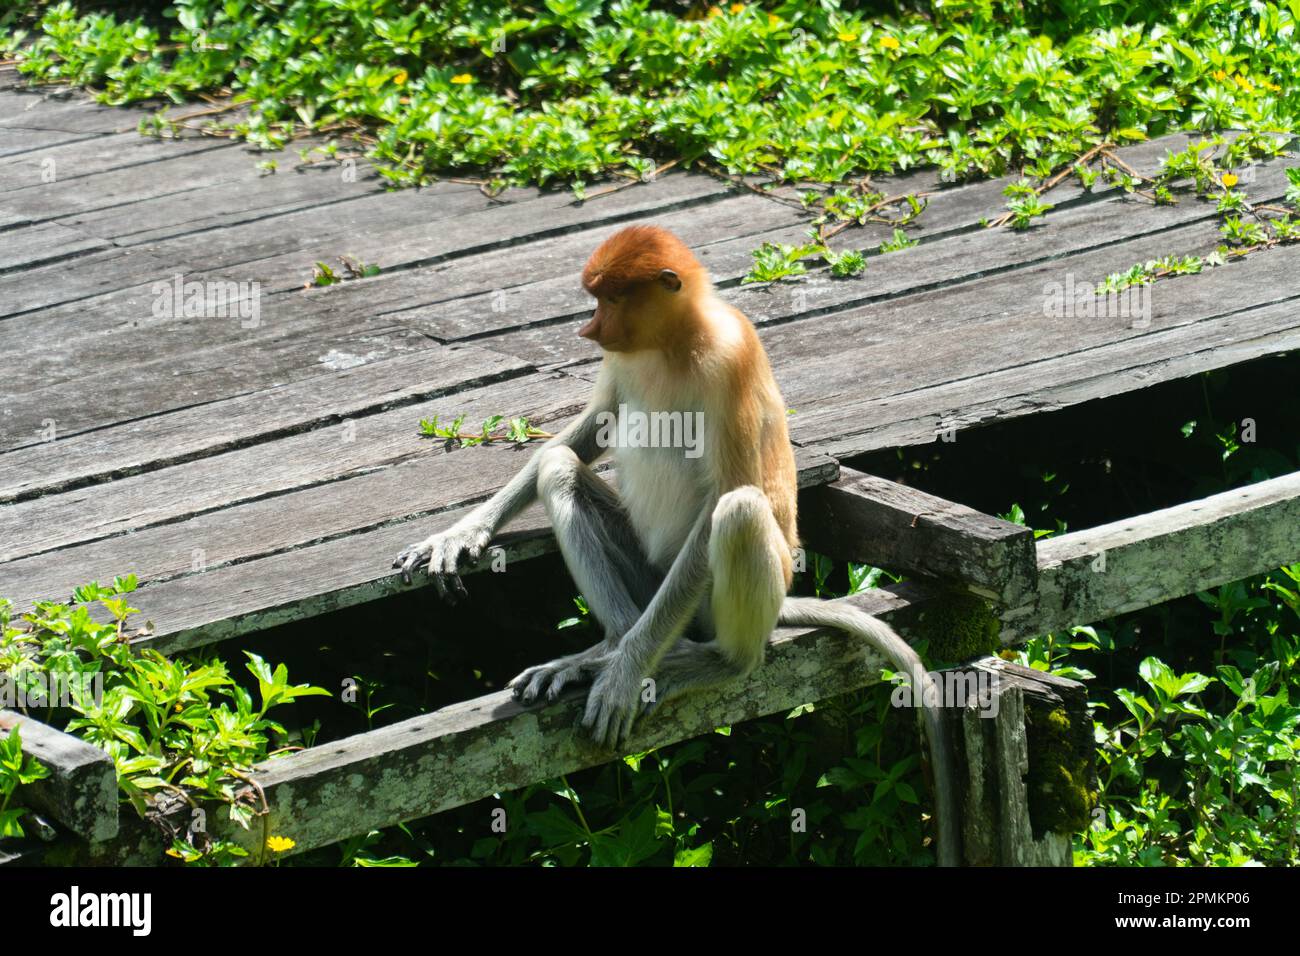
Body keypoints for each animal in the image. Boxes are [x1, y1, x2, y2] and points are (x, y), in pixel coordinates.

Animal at [393, 224, 958, 865]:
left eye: (611, 299)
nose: (590, 330)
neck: (671, 344)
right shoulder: (622, 363)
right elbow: (581, 435)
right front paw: (457, 535)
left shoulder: (730, 360)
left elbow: (722, 497)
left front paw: (623, 680)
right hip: (649, 575)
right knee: (561, 471)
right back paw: (602, 650)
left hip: (717, 600)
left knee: (739, 513)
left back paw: (706, 662)